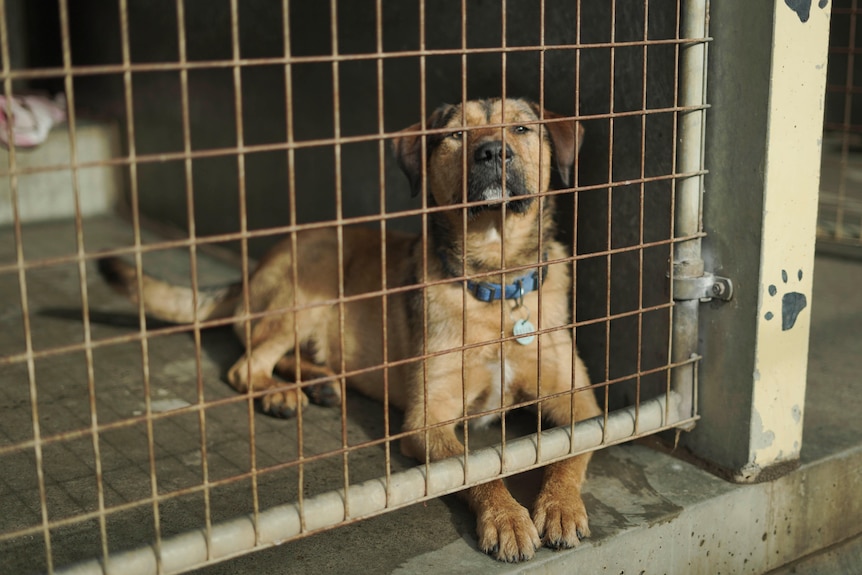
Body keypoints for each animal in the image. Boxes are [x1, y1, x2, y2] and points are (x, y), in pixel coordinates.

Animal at [98, 98, 600, 564]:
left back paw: (319, 382)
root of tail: (252, 268)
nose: (492, 151)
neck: (497, 283)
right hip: (312, 283)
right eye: (456, 135)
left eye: (522, 129)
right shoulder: (428, 419)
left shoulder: (580, 402)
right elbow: (475, 468)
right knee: (246, 364)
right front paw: (507, 517)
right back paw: (278, 392)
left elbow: (572, 450)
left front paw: (559, 506)